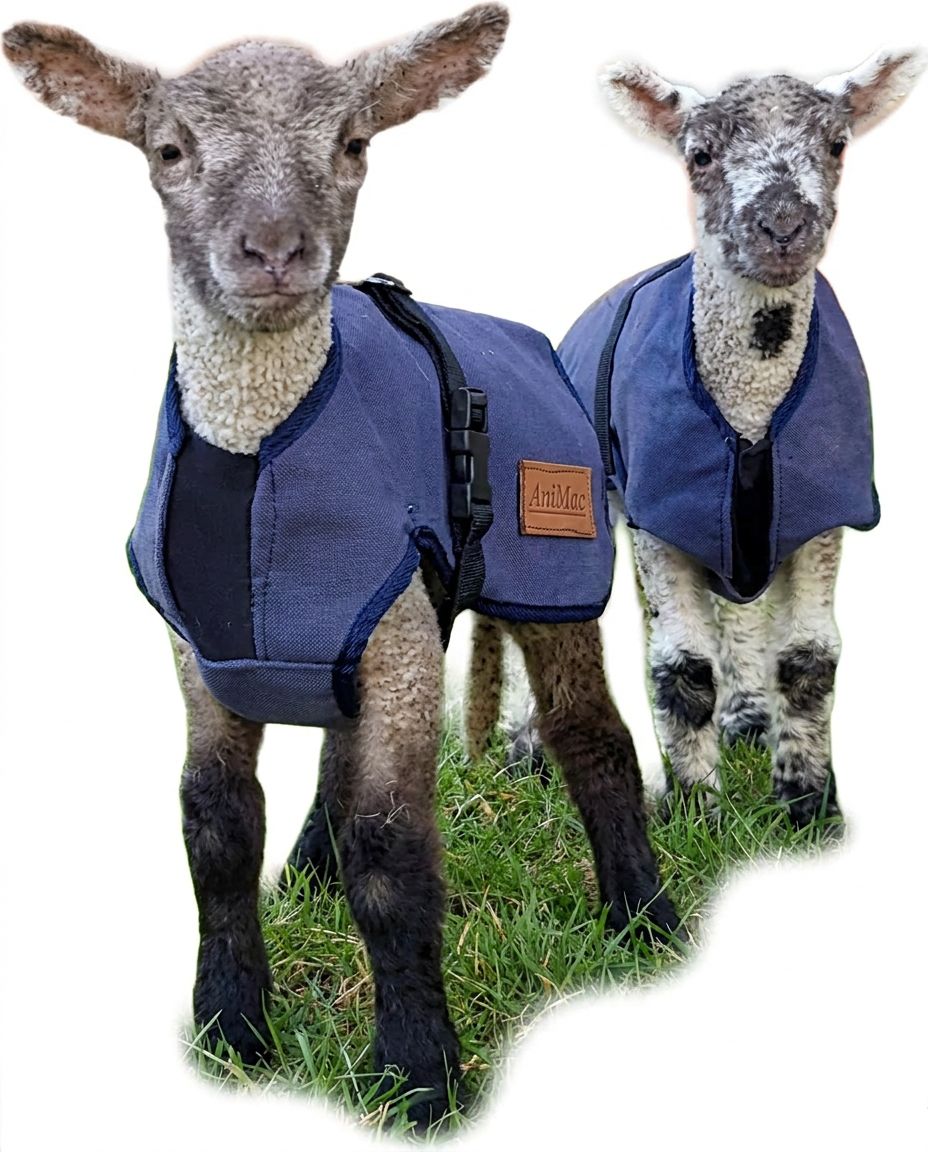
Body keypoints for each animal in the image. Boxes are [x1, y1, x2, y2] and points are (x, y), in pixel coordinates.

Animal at [2, 8, 677, 1127]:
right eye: (168, 151)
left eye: (353, 144)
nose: (275, 251)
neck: (256, 454)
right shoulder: (205, 650)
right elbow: (214, 828)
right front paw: (232, 1030)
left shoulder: (392, 645)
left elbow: (392, 852)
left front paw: (418, 1075)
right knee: (330, 759)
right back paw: (311, 873)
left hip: (549, 572)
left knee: (593, 738)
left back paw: (645, 921)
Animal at [553, 52, 925, 829]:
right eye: (699, 155)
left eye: (837, 146)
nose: (782, 223)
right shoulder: (660, 511)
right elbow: (681, 667)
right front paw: (697, 812)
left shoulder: (818, 510)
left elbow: (810, 659)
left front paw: (807, 806)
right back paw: (521, 755)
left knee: (740, 612)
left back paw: (749, 721)